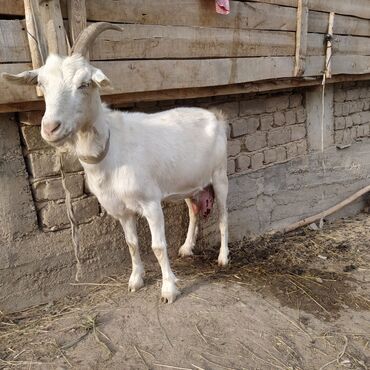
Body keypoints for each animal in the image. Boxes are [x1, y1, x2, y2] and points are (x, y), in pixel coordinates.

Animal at [3, 21, 228, 302]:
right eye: (42, 84)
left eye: (85, 83)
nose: (50, 128)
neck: (111, 151)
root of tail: (216, 115)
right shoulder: (120, 209)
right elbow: (131, 243)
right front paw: (135, 280)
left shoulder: (151, 202)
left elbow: (157, 246)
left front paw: (168, 290)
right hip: (189, 182)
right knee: (194, 211)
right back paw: (187, 248)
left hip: (220, 174)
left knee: (223, 213)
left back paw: (223, 258)